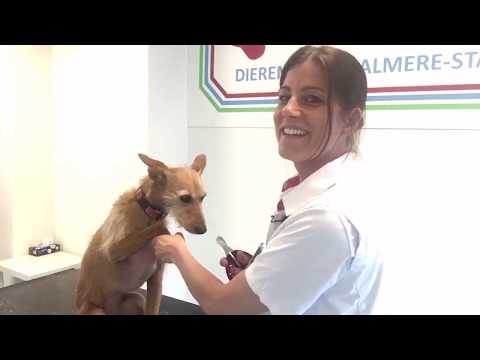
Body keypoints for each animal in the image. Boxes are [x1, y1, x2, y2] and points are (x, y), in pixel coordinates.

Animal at [76, 153, 207, 314]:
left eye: (203, 197)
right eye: (185, 198)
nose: (203, 230)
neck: (148, 213)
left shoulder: (156, 280)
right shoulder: (114, 250)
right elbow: (155, 230)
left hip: (137, 299)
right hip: (97, 310)